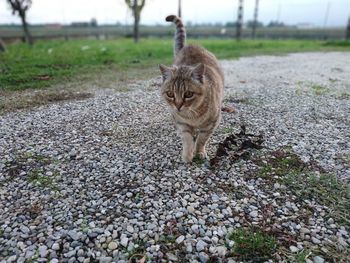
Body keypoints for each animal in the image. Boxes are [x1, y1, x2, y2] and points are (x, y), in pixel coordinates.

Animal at [159, 14, 224, 163]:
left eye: (188, 94)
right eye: (170, 94)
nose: (178, 106)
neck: (192, 116)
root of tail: (189, 46)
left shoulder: (211, 124)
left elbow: (201, 140)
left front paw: (199, 152)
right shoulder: (182, 123)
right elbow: (187, 139)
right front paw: (188, 155)